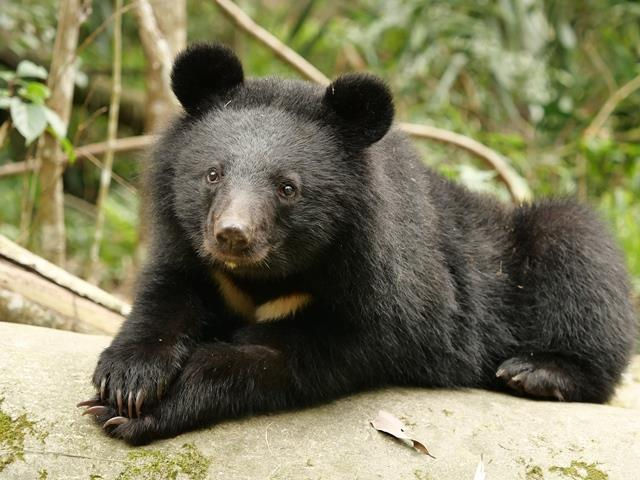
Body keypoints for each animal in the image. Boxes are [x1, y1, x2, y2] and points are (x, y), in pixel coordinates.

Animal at [78, 43, 637, 445]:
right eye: (212, 174)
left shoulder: (381, 304)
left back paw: (535, 372)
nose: (232, 235)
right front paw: (127, 381)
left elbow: (278, 359)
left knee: (580, 261)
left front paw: (140, 410)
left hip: (536, 249)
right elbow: (167, 293)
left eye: (287, 188)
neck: (269, 275)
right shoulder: (193, 254)